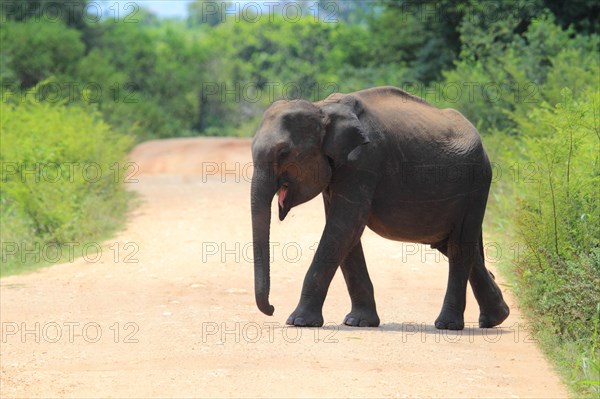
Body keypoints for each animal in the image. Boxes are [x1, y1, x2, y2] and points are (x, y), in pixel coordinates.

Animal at [251, 86, 508, 332]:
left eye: (283, 153)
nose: (272, 309)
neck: (321, 108)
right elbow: (346, 231)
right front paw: (358, 322)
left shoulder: (365, 161)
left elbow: (344, 225)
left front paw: (299, 321)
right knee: (452, 243)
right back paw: (496, 317)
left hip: (477, 182)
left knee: (459, 244)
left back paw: (448, 325)